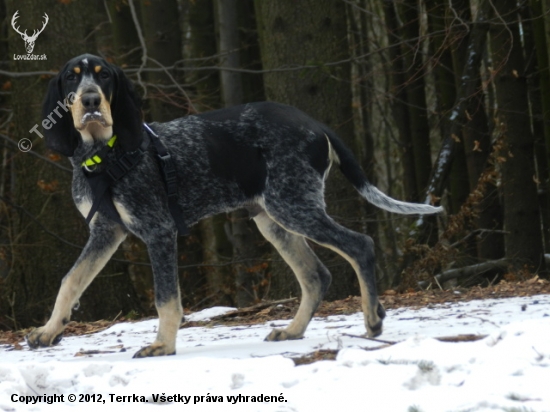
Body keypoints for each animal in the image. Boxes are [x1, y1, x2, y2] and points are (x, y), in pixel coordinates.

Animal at [25, 54, 444, 358]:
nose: (91, 100)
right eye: (71, 79)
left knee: (360, 246)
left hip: (294, 207)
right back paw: (293, 330)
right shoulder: (106, 232)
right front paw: (48, 332)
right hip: (273, 218)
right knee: (316, 275)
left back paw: (372, 320)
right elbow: (71, 281)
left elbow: (166, 298)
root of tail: (315, 123)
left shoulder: (159, 231)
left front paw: (163, 345)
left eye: (104, 77)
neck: (103, 157)